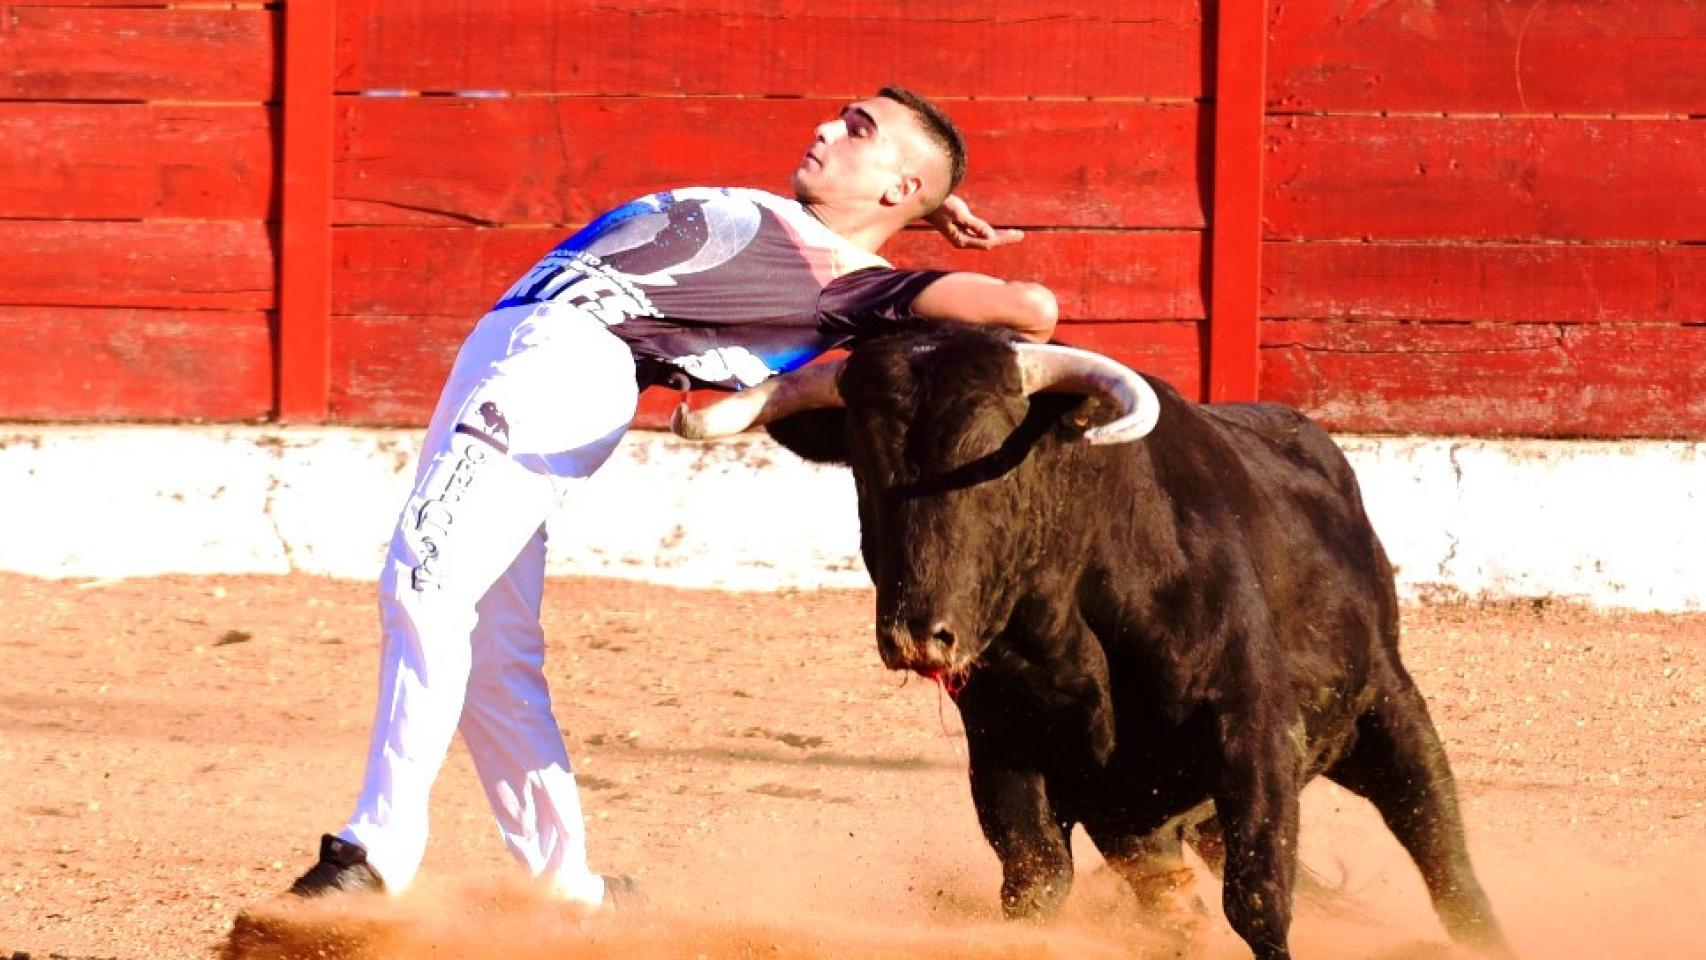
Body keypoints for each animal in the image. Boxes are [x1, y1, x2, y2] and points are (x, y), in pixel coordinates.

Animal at [672, 325, 1514, 960]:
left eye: (987, 462)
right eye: (867, 469)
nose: (918, 635)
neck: (1072, 625)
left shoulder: (1253, 730)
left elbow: (1260, 896)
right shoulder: (1007, 754)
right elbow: (1034, 884)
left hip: (1388, 711)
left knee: (1446, 857)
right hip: (1147, 815)